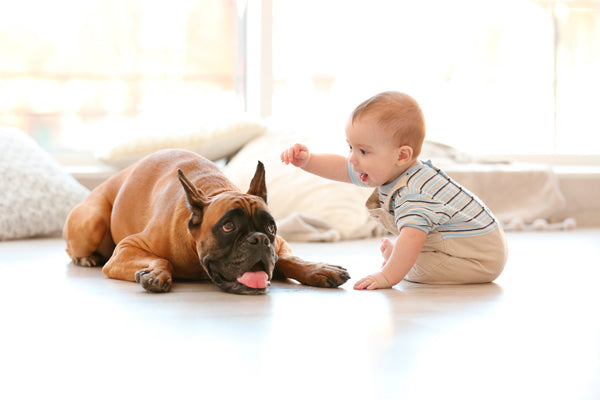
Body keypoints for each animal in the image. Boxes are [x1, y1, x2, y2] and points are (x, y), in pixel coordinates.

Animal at [63, 149, 350, 294]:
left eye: (270, 227)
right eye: (228, 227)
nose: (259, 240)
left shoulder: (279, 244)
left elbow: (289, 258)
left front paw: (318, 268)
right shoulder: (126, 249)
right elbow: (162, 259)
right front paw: (156, 272)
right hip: (92, 221)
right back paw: (86, 258)